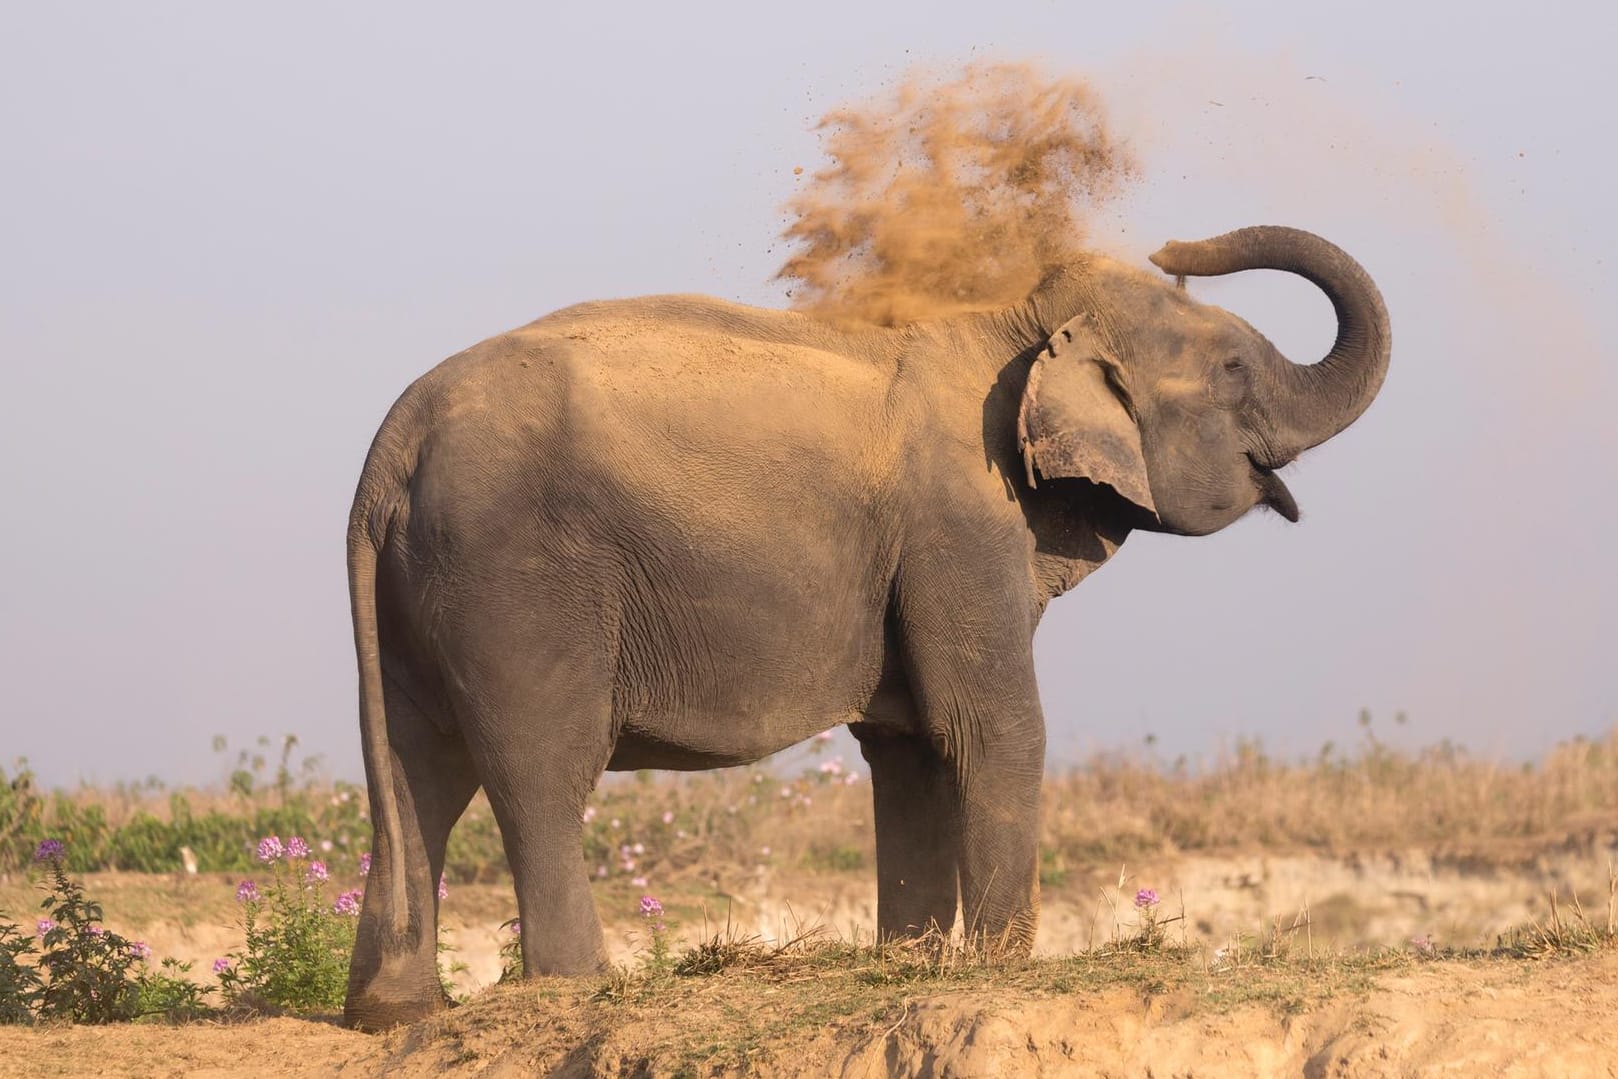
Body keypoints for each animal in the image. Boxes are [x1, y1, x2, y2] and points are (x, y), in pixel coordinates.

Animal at [341, 223, 1391, 1028]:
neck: (1010, 326)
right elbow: (992, 726)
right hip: (516, 578)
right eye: (1234, 367)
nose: (1178, 248)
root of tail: (394, 440)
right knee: (539, 769)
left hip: (424, 592)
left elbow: (912, 743)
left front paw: (912, 963)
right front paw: (1001, 970)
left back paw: (395, 1013)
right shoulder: (959, 523)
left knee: (416, 770)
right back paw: (577, 989)